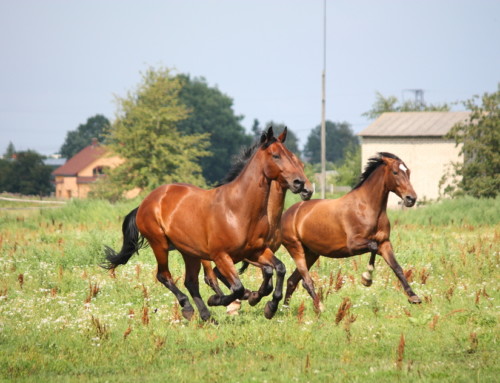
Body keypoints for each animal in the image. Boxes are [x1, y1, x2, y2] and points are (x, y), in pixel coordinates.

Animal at [103, 127, 310, 322]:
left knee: (190, 282)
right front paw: (221, 300)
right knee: (164, 276)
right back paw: (189, 309)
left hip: (190, 252)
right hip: (159, 244)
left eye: (292, 156)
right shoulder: (221, 256)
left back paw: (206, 316)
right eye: (276, 155)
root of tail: (146, 202)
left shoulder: (255, 251)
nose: (300, 184)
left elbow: (278, 269)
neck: (238, 209)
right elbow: (237, 287)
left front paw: (269, 307)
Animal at [282, 152, 422, 310]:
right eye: (395, 172)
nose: (411, 198)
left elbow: (397, 267)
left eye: (408, 172)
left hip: (311, 253)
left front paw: (413, 297)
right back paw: (320, 307)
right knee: (306, 281)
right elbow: (373, 246)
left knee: (292, 280)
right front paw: (366, 278)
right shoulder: (353, 244)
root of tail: (287, 214)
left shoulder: (385, 243)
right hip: (296, 249)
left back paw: (284, 309)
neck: (366, 208)